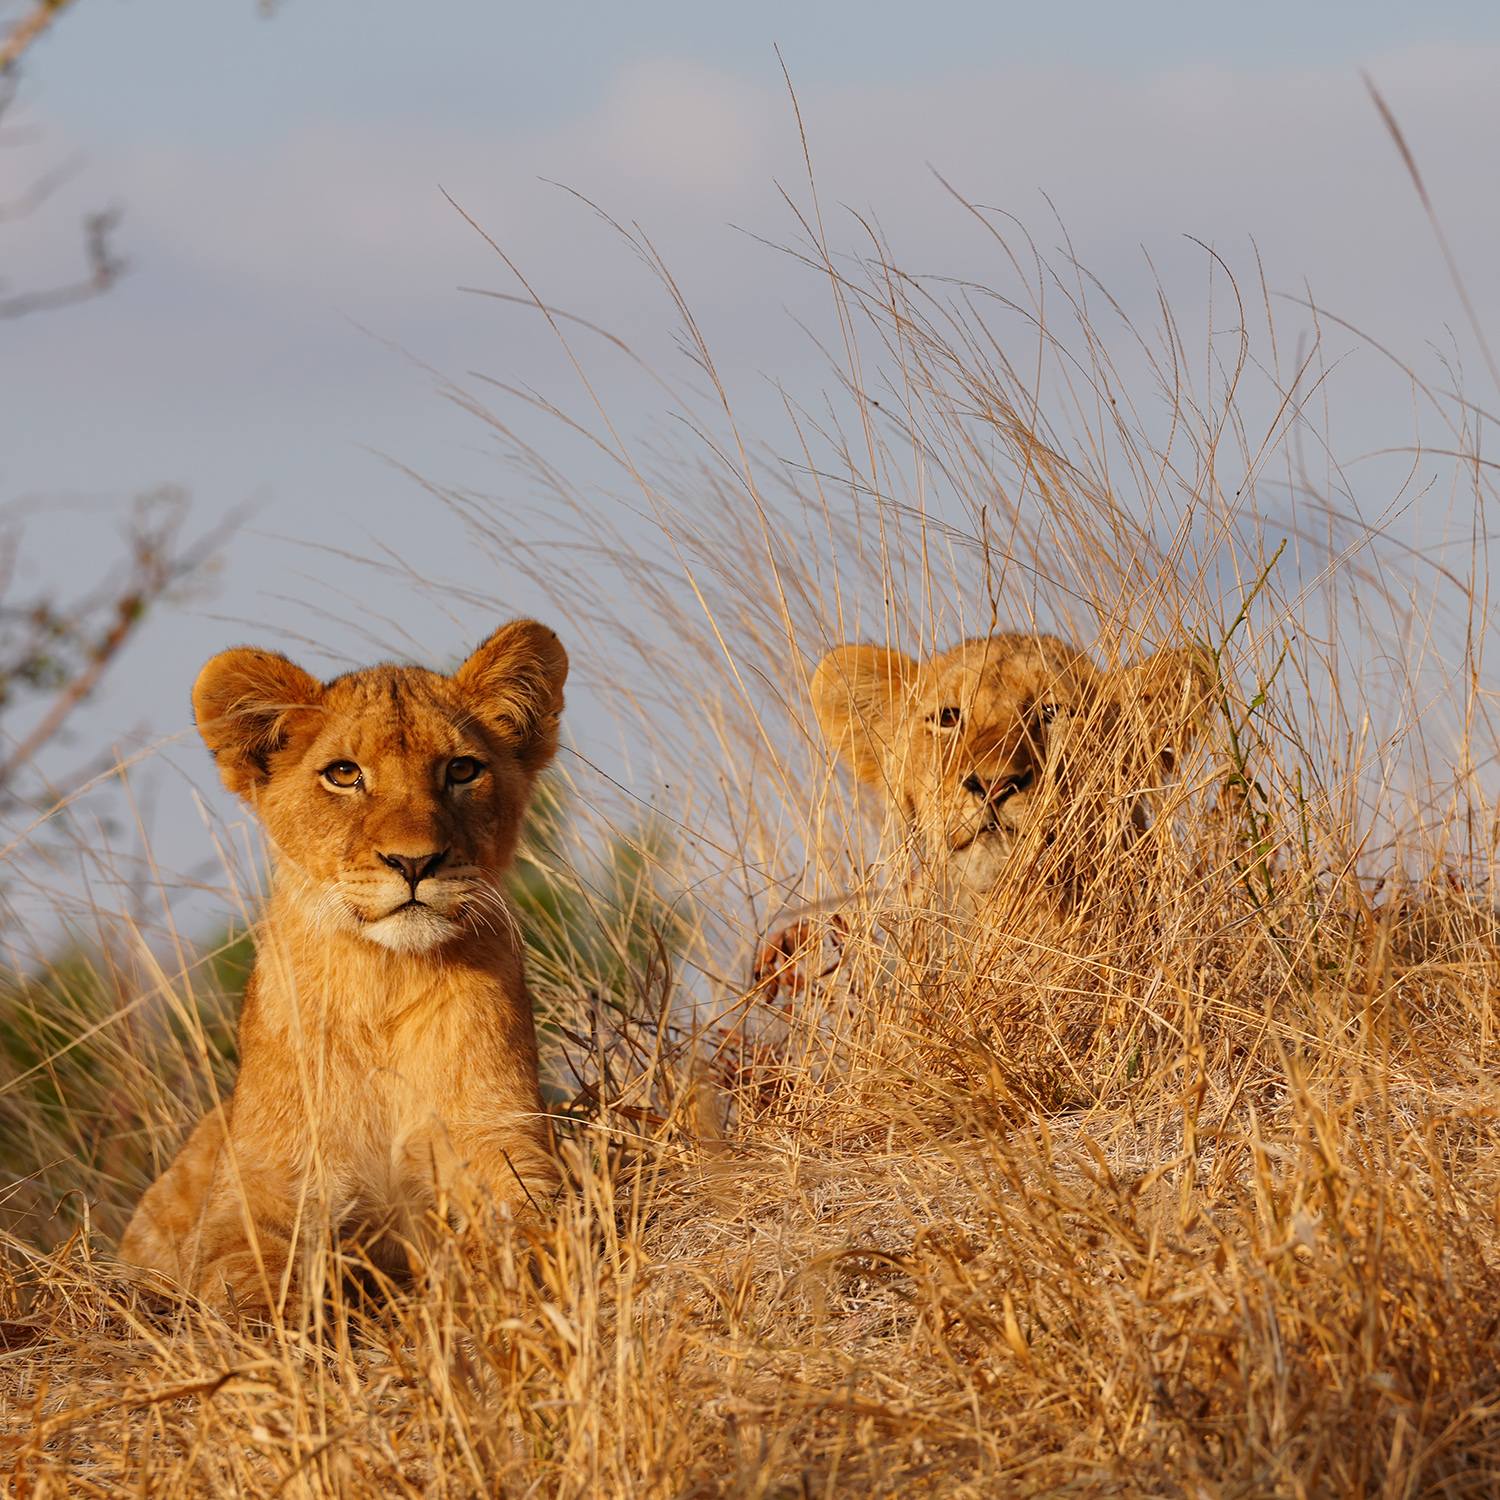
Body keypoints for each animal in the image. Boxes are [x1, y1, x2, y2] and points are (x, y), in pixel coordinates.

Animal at [116, 620, 567, 1315]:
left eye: (462, 769)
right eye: (344, 773)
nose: (414, 862)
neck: (384, 981)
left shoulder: (509, 1149)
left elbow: (517, 1239)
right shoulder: (254, 1194)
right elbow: (243, 1280)